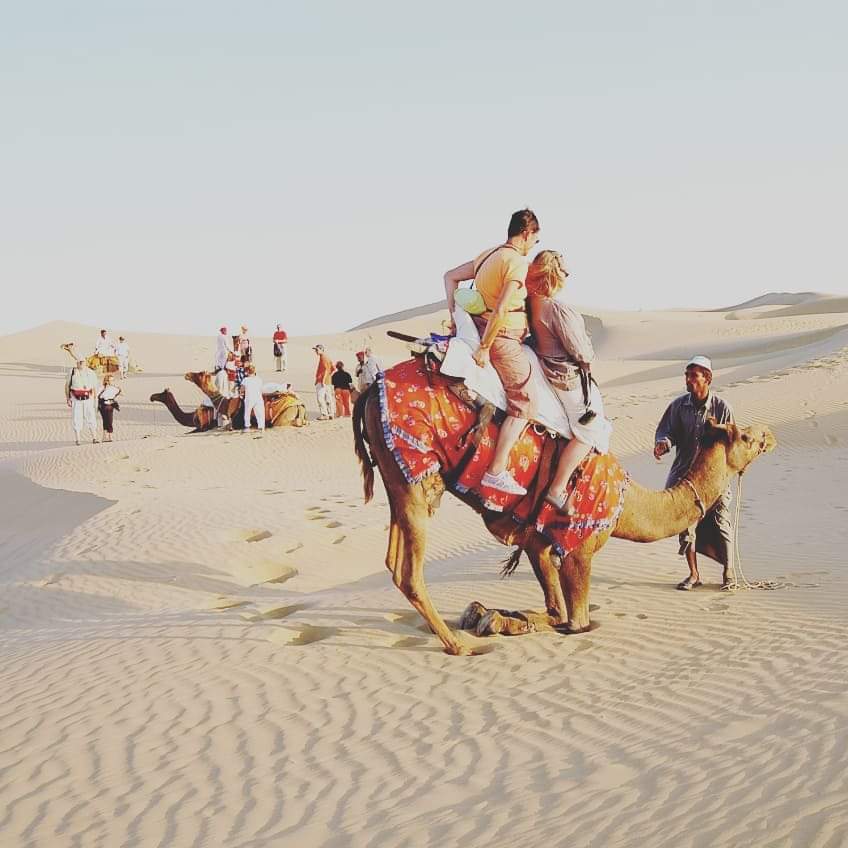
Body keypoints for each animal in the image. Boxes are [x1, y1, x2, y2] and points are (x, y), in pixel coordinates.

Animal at [352, 364, 776, 656]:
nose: (770, 434)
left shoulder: (537, 541)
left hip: (399, 478)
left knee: (394, 561)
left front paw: (487, 613)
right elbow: (576, 622)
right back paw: (458, 645)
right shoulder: (579, 548)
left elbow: (554, 610)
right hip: (414, 476)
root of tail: (369, 391)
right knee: (410, 573)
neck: (626, 504)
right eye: (746, 437)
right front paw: (494, 619)